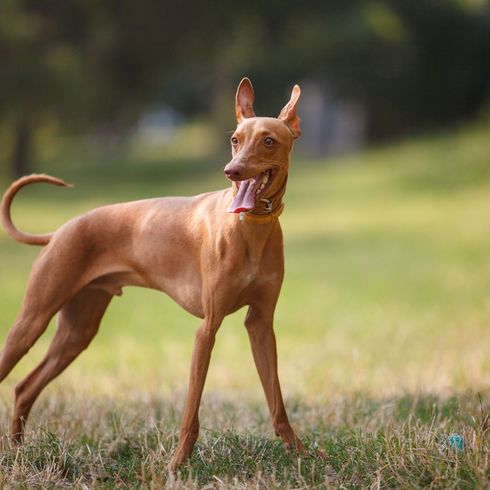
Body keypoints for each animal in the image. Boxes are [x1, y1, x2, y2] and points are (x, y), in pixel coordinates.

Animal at [0, 78, 312, 468]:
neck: (249, 229)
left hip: (76, 332)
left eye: (268, 140)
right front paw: (178, 464)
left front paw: (300, 453)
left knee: (24, 387)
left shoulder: (261, 324)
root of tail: (58, 232)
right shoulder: (206, 330)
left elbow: (276, 401)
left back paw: (18, 451)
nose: (232, 170)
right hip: (32, 321)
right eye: (235, 139)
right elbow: (191, 410)